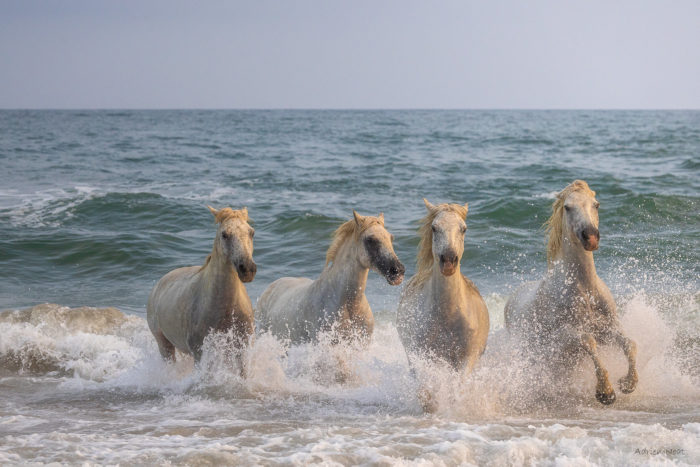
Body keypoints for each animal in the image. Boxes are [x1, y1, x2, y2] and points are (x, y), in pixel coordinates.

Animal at [147, 206, 256, 369]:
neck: (226, 307)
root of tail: (158, 285)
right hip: (164, 345)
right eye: (224, 234)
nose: (248, 269)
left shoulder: (241, 349)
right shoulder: (200, 353)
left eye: (251, 232)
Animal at [397, 199, 490, 376]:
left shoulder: (467, 359)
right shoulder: (423, 357)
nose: (448, 260)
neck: (448, 314)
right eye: (434, 227)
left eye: (463, 228)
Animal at [504, 180, 638, 405]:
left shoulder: (608, 328)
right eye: (568, 207)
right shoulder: (564, 337)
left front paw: (628, 383)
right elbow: (588, 341)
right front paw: (605, 392)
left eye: (596, 204)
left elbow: (629, 343)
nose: (591, 237)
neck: (585, 291)